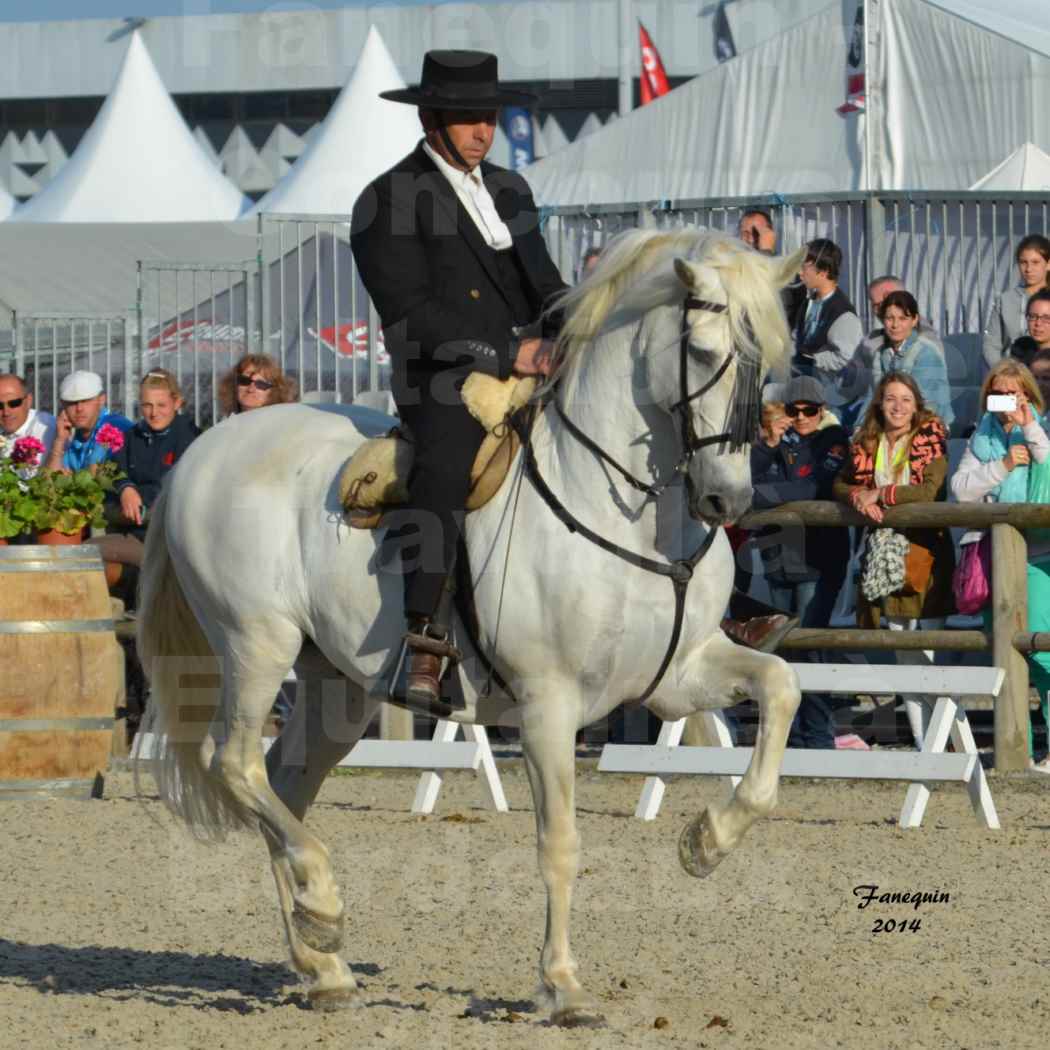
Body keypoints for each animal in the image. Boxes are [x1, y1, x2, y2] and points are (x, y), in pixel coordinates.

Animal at [139, 229, 802, 1024]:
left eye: (768, 362)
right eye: (702, 353)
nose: (726, 500)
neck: (624, 509)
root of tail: (200, 452)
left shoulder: (678, 675)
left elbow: (781, 690)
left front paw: (707, 841)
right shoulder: (550, 703)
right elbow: (559, 842)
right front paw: (562, 985)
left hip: (337, 689)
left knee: (284, 783)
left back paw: (320, 957)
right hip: (254, 645)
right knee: (235, 763)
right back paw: (323, 907)